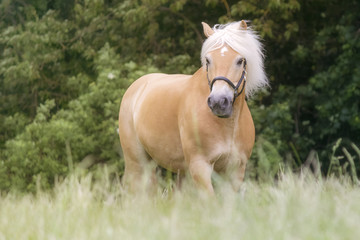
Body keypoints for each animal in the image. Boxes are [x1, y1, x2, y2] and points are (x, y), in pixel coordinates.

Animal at [118, 20, 268, 195]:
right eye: (208, 60)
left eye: (240, 61)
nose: (218, 102)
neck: (227, 126)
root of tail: (137, 86)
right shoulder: (200, 166)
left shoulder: (235, 171)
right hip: (136, 162)